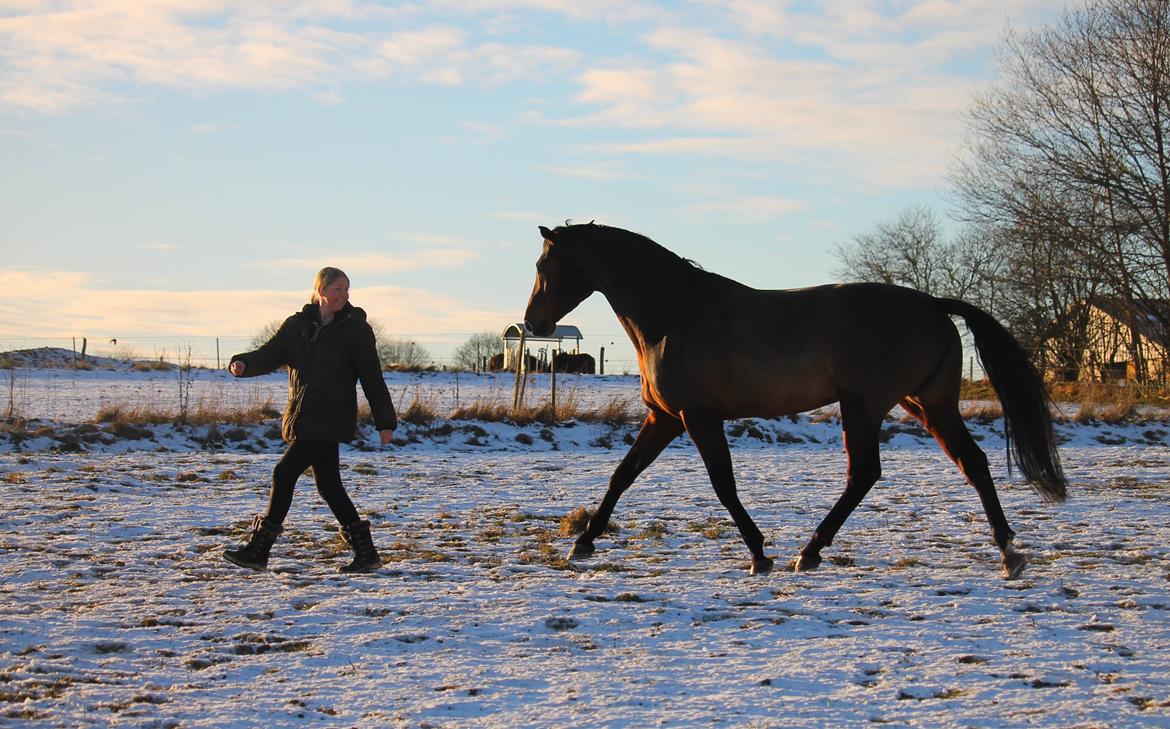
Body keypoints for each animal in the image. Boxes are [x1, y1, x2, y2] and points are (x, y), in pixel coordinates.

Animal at [526, 225, 1067, 578]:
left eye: (543, 264)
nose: (534, 323)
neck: (673, 314)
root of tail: (933, 304)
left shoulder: (698, 417)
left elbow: (723, 484)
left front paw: (759, 554)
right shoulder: (664, 418)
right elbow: (623, 475)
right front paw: (583, 543)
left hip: (864, 406)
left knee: (864, 474)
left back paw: (809, 552)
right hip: (928, 405)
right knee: (971, 463)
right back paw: (1009, 554)